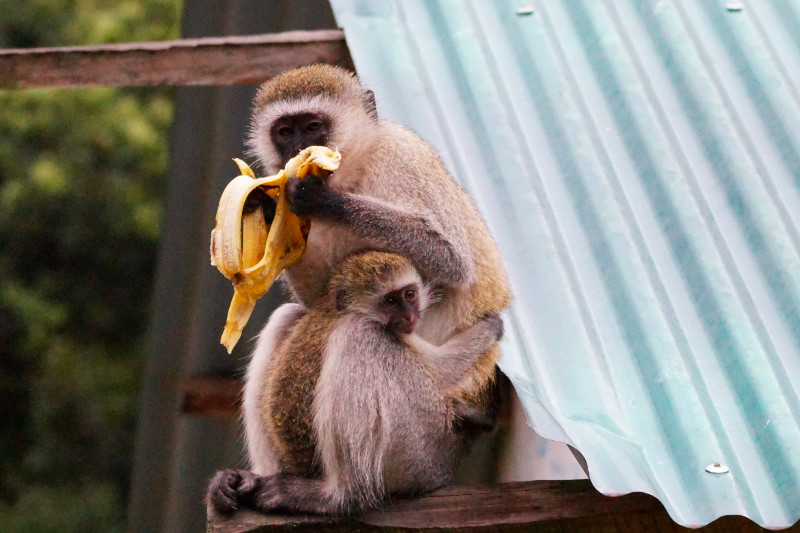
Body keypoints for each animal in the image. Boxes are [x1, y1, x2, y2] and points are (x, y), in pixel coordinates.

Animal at [208, 250, 504, 515]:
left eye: (410, 294)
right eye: (390, 301)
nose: (410, 316)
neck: (336, 308)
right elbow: (442, 371)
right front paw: (492, 326)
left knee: (287, 315)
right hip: (423, 451)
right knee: (358, 332)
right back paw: (342, 497)